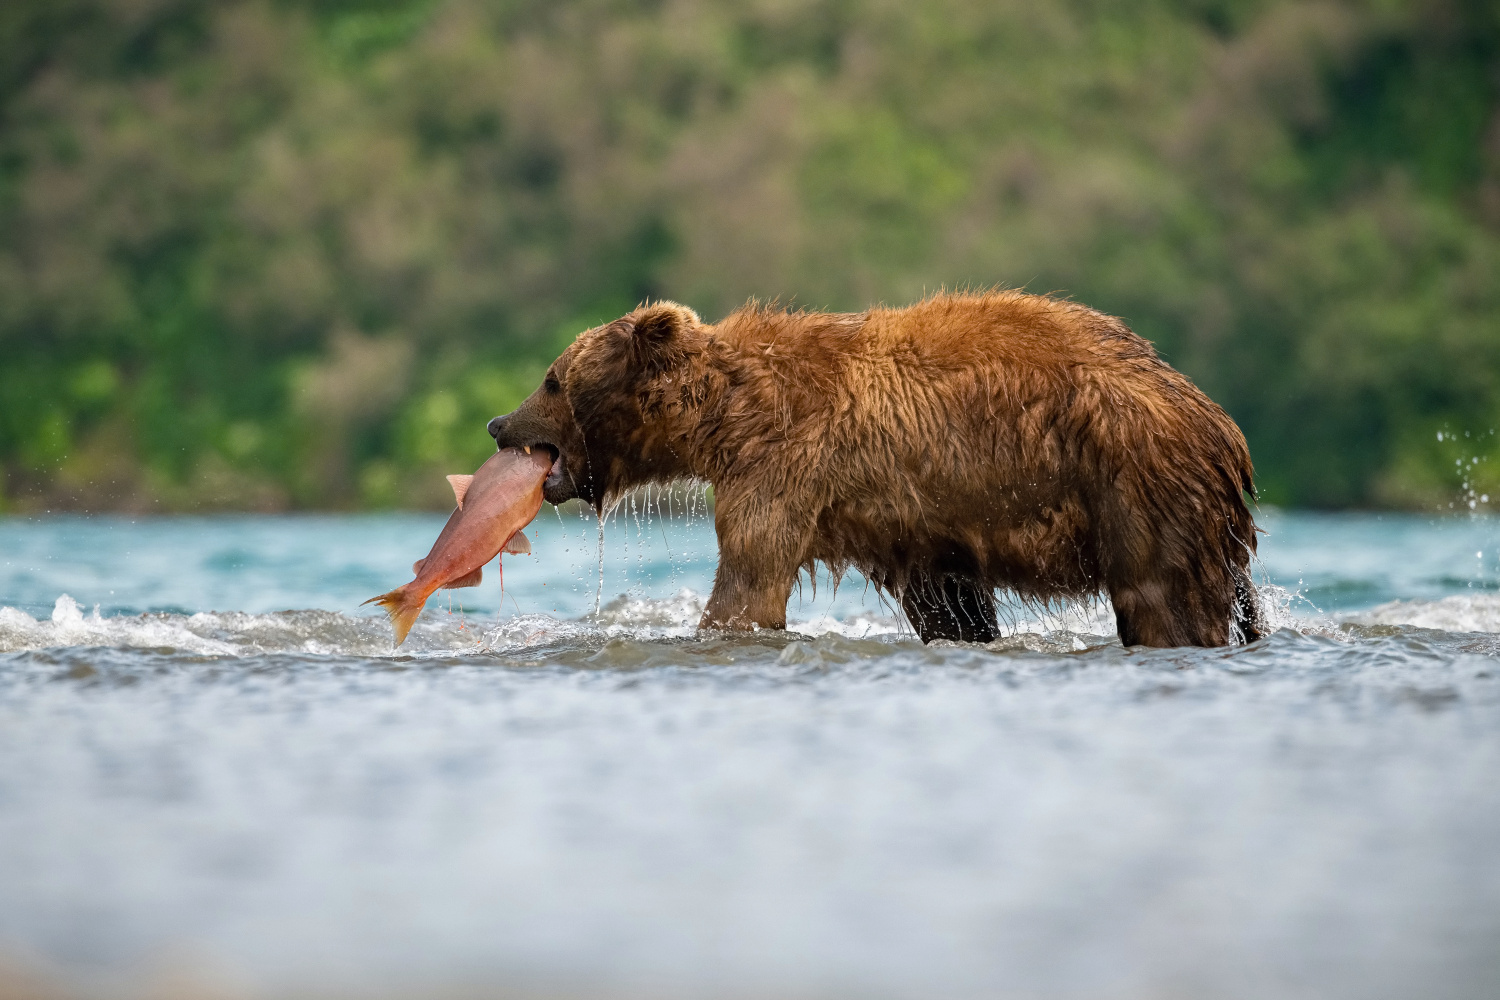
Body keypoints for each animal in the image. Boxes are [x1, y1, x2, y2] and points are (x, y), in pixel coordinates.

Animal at [486, 290, 1260, 650]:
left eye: (551, 379)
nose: (499, 424)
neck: (725, 415)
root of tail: (1216, 421)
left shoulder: (781, 467)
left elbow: (749, 578)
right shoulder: (918, 524)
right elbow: (950, 603)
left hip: (1135, 478)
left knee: (1161, 596)